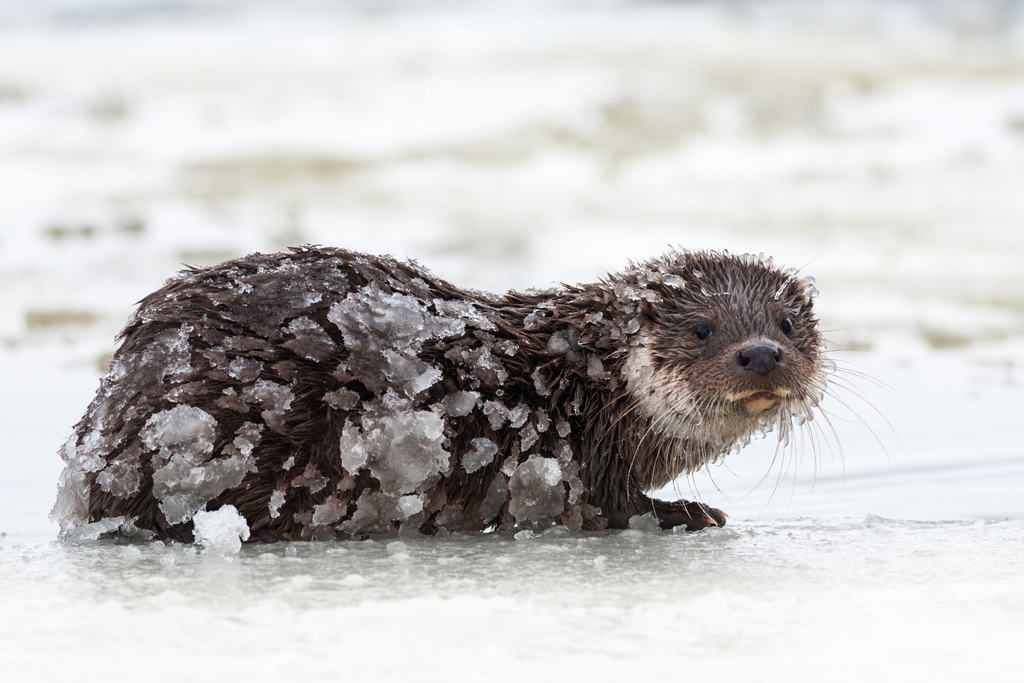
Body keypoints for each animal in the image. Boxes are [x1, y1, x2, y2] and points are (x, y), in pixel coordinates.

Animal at [52, 247, 826, 542]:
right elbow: (612, 505)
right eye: (702, 329)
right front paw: (688, 511)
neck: (578, 385)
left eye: (786, 323)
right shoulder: (576, 457)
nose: (761, 353)